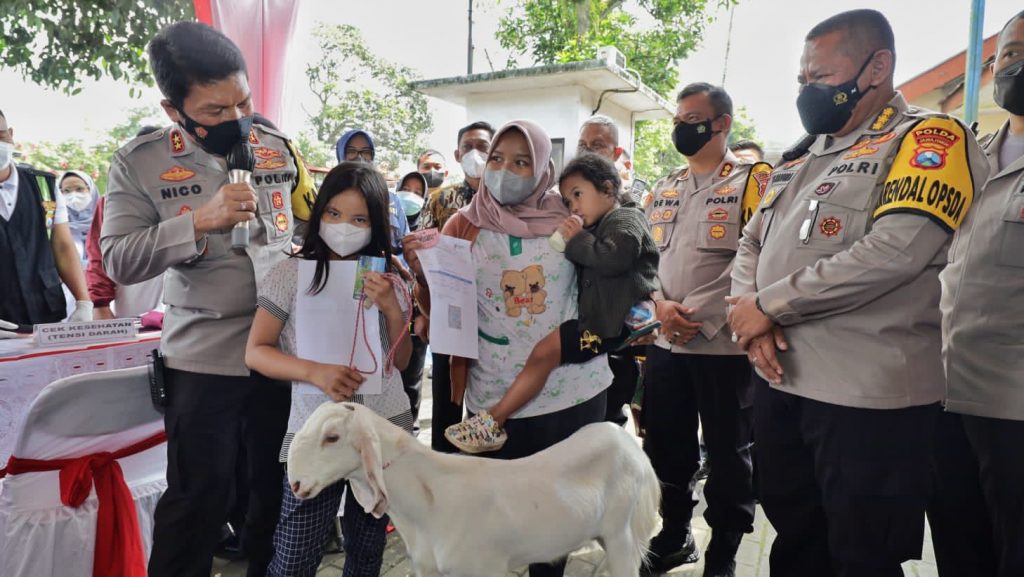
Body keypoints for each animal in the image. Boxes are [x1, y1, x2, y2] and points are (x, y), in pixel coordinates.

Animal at [286, 401, 663, 577]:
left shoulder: (485, 567)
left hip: (622, 537)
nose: (295, 483)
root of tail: (632, 446)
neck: (429, 503)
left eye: (332, 437)